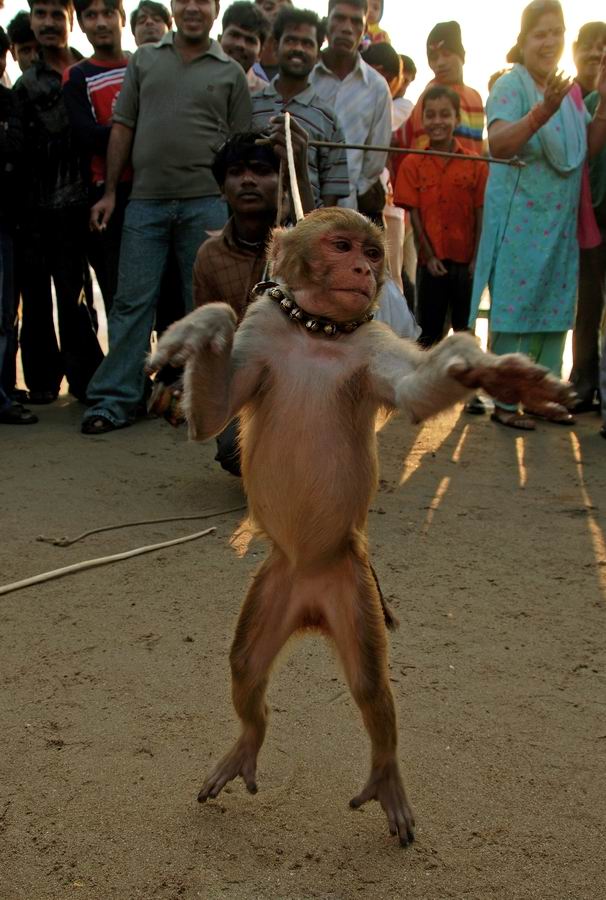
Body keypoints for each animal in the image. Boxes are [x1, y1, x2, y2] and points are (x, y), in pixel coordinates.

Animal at [147, 207, 576, 848]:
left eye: (373, 253)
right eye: (342, 246)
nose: (364, 270)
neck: (319, 332)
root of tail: (311, 604)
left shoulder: (371, 343)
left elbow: (415, 394)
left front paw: (490, 370)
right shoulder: (266, 327)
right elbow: (210, 419)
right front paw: (195, 328)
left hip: (352, 586)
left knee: (372, 687)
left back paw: (385, 774)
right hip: (276, 583)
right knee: (246, 666)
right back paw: (248, 740)